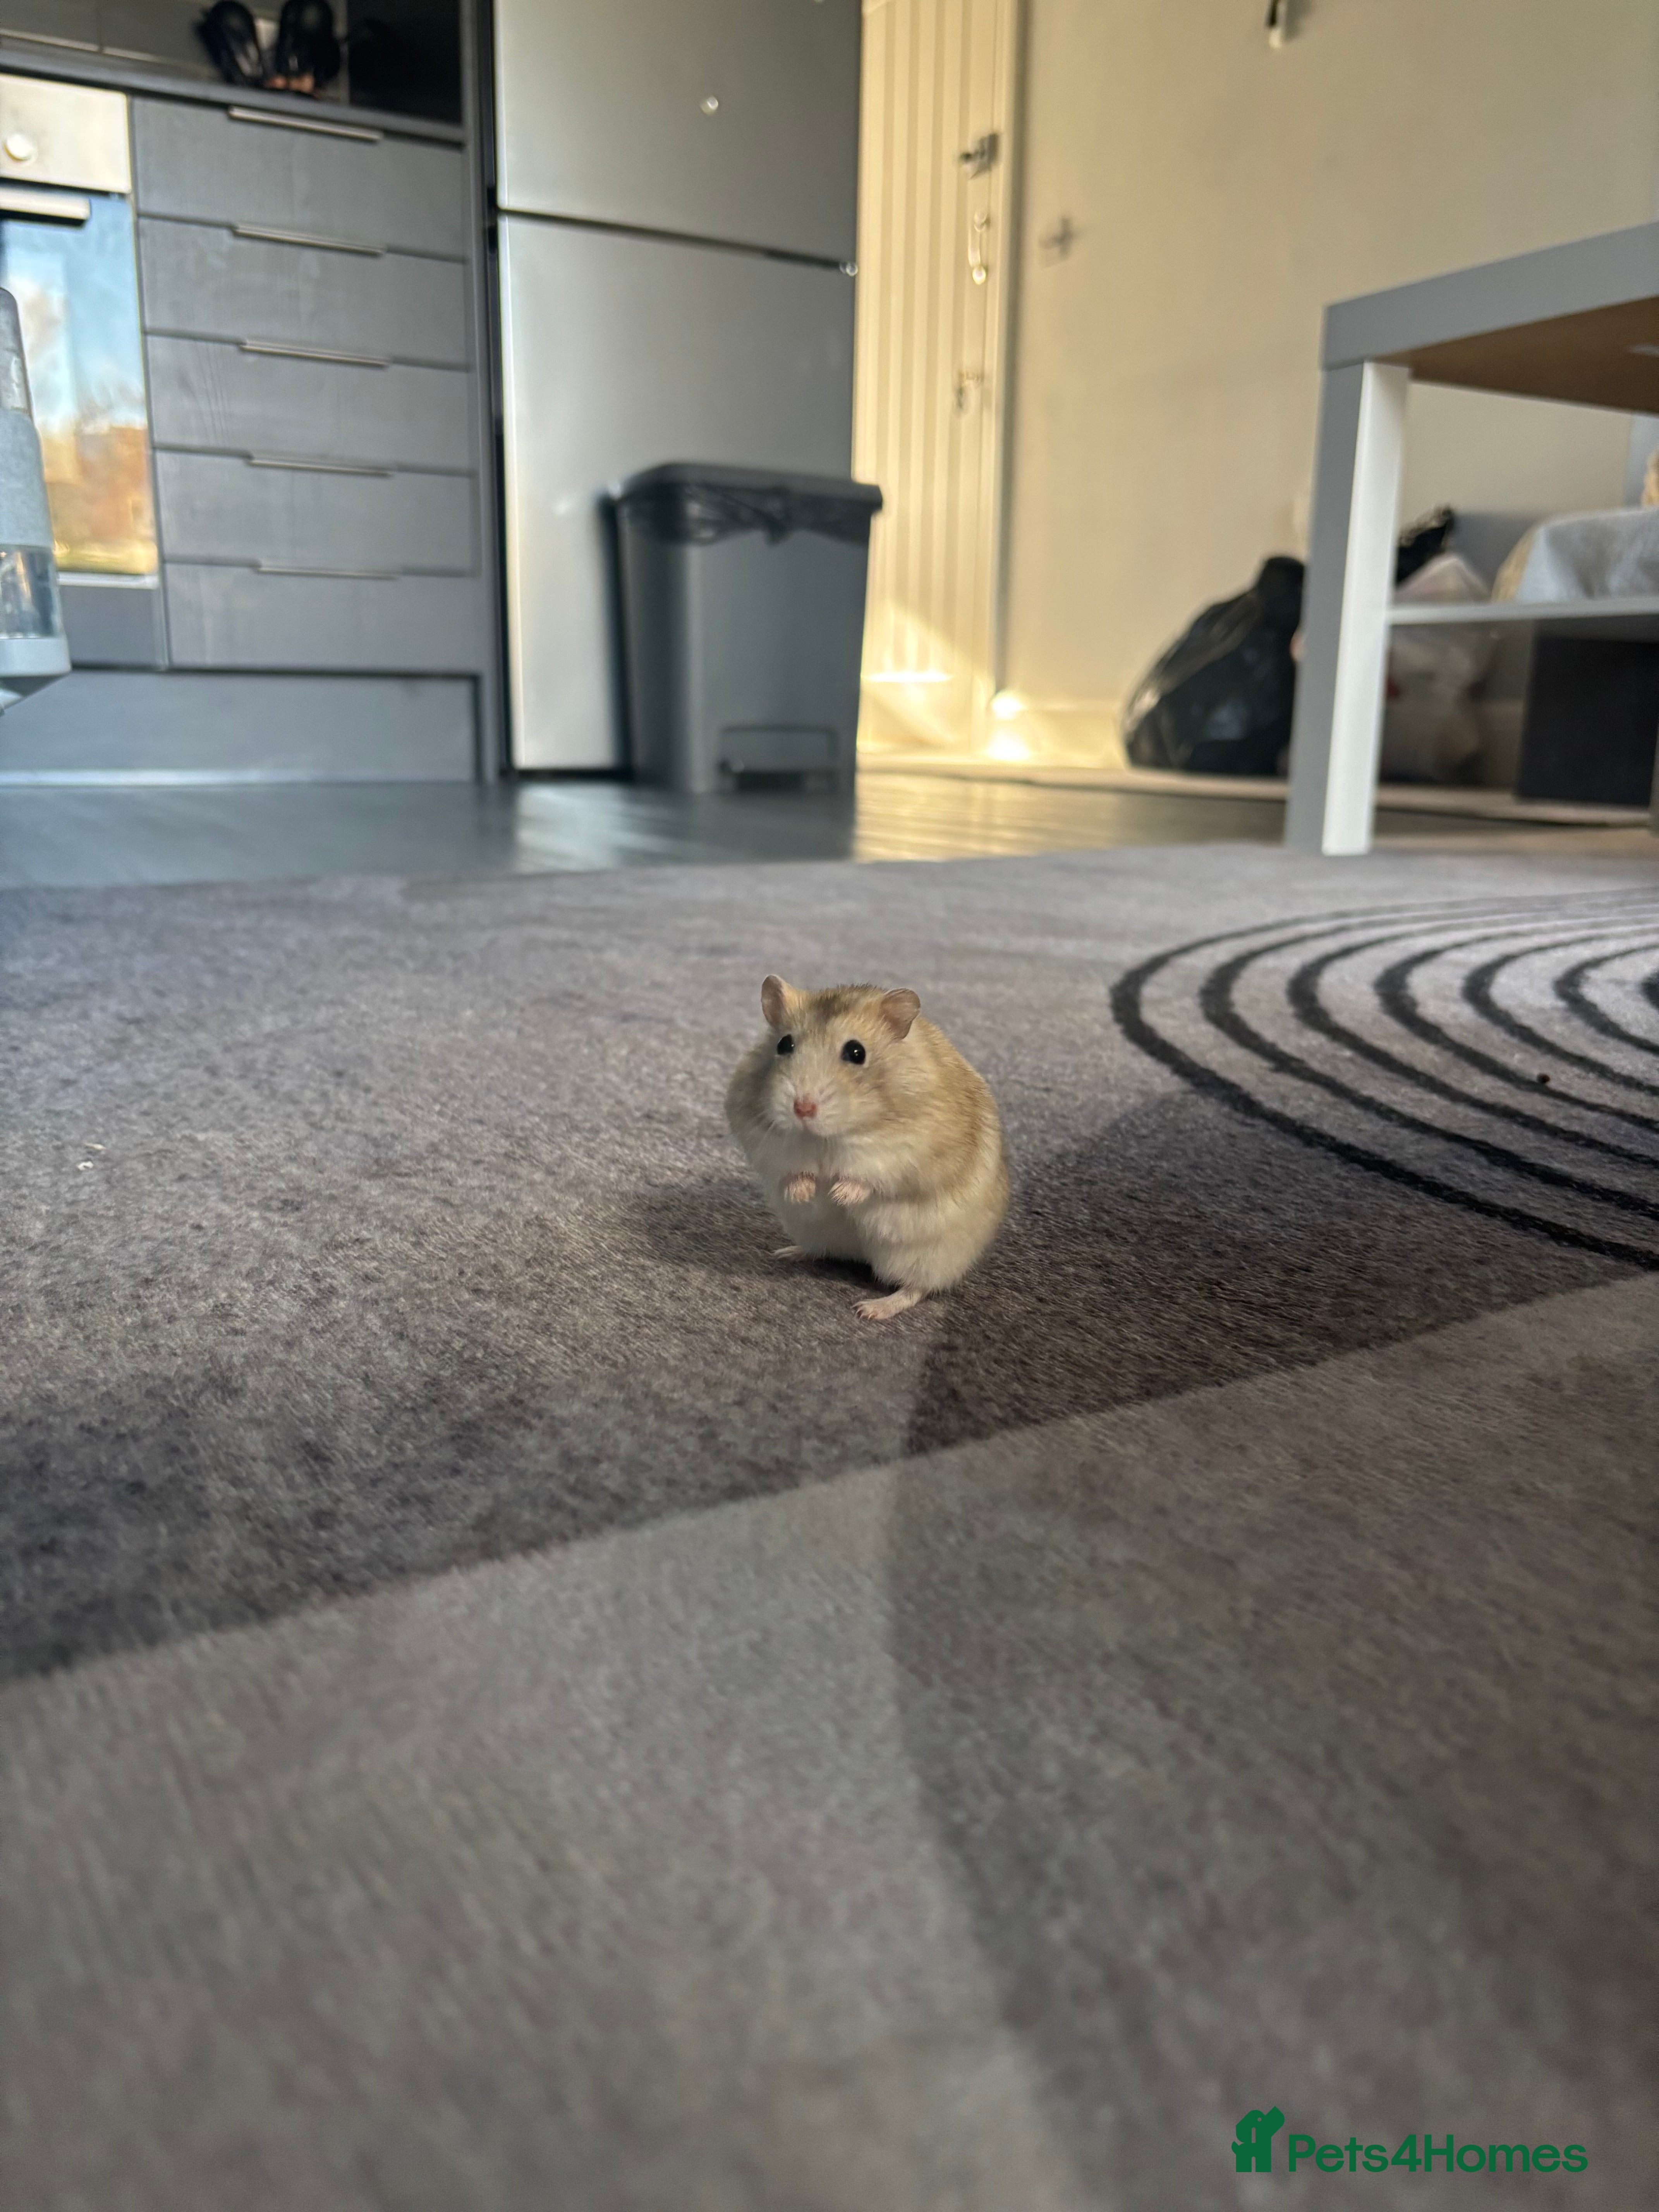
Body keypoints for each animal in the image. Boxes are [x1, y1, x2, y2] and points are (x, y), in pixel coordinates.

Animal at [725, 975, 1009, 1320]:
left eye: (857, 1052)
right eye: (784, 1045)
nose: (803, 1109)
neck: (828, 1136)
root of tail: (861, 1256)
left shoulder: (906, 1154)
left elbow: (867, 1177)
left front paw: (838, 1194)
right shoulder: (765, 1141)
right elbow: (792, 1171)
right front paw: (806, 1192)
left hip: (928, 1256)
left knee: (916, 1289)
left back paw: (870, 1310)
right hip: (814, 1232)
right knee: (823, 1251)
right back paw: (785, 1253)